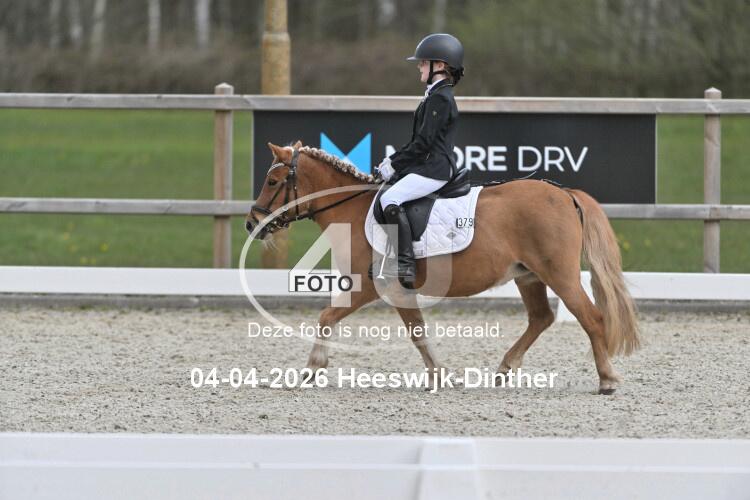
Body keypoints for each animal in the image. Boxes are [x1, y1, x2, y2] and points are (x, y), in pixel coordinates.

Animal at [245, 141, 640, 394]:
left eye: (273, 182)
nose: (252, 223)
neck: (352, 211)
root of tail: (564, 193)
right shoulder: (398, 292)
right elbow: (418, 332)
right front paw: (440, 375)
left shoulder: (371, 286)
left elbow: (327, 317)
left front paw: (312, 367)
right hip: (528, 276)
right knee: (541, 318)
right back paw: (505, 368)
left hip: (559, 275)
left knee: (592, 318)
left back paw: (607, 379)